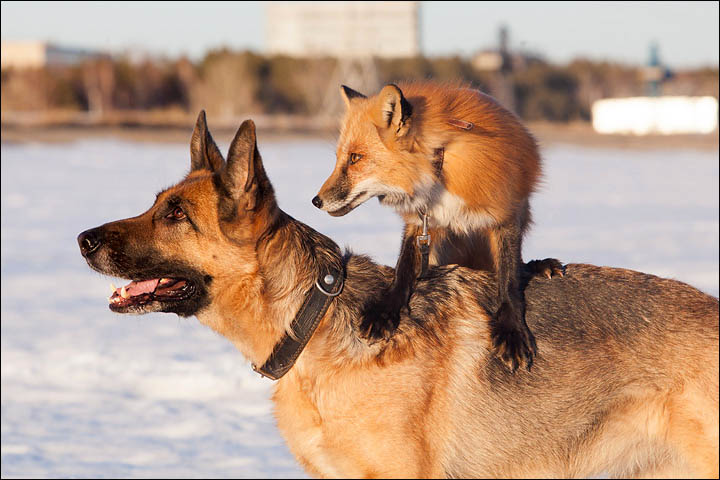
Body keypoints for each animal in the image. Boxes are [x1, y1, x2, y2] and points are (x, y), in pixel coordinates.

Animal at [314, 80, 564, 370]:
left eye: (355, 158)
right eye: (340, 157)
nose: (316, 201)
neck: (439, 167)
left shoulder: (505, 214)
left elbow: (509, 277)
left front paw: (511, 330)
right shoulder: (421, 221)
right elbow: (404, 267)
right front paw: (385, 311)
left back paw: (539, 266)